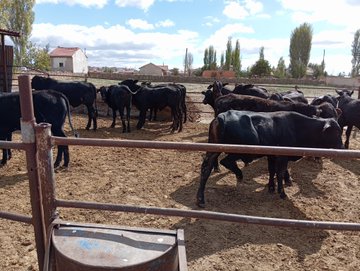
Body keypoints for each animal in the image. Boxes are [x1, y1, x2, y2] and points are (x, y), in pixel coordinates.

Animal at [197, 109, 344, 207]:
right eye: (336, 132)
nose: (343, 148)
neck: (296, 127)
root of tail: (221, 116)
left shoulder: (272, 156)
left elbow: (272, 171)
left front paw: (271, 187)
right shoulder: (282, 157)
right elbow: (279, 173)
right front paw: (282, 192)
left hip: (213, 150)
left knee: (206, 169)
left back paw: (200, 199)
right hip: (236, 150)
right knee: (225, 161)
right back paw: (238, 174)